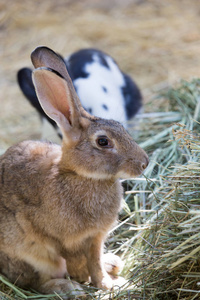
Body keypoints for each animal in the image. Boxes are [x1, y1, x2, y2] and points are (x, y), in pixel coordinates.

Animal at [0, 47, 148, 298]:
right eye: (103, 141)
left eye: (122, 128)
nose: (144, 163)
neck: (80, 175)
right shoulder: (62, 240)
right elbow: (76, 261)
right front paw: (88, 280)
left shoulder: (96, 237)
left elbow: (95, 262)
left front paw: (109, 284)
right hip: (30, 256)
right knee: (35, 282)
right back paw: (68, 287)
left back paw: (112, 263)